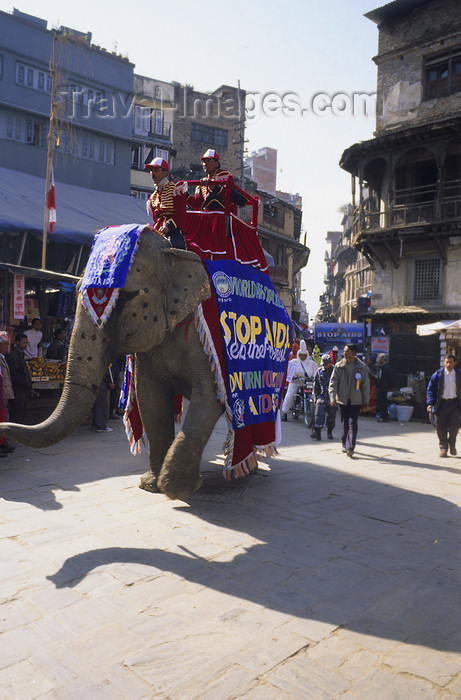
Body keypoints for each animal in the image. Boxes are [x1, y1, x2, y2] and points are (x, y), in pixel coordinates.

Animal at [0, 228, 223, 498]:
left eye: (126, 296)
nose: (0, 427)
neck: (174, 251)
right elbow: (150, 399)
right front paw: (151, 485)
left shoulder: (211, 339)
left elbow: (210, 395)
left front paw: (177, 488)